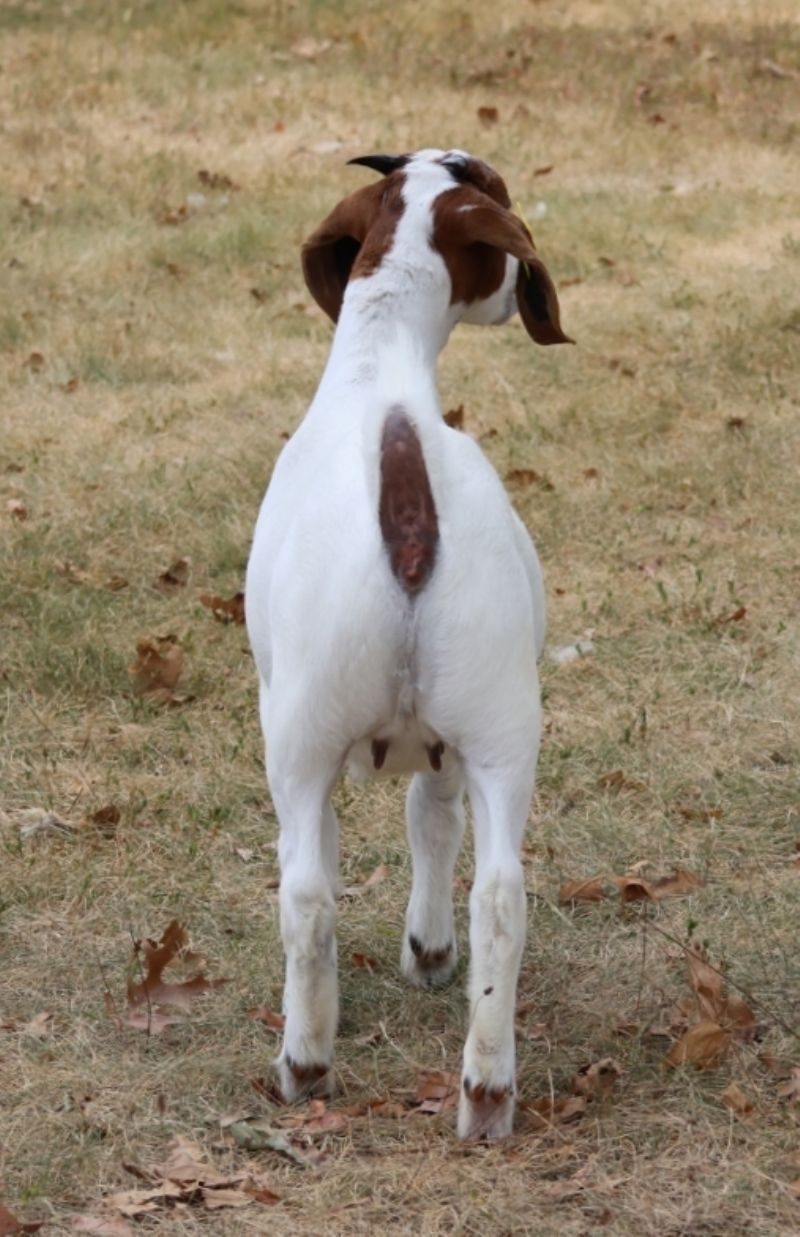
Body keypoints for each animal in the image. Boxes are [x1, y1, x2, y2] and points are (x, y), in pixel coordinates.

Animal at [245, 148, 571, 1139]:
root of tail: (403, 471)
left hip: (299, 737)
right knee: (500, 897)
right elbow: (434, 821)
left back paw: (304, 1062)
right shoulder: (449, 742)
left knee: (306, 895)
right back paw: (488, 1090)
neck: (381, 369)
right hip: (503, 725)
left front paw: (418, 955)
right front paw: (430, 955)